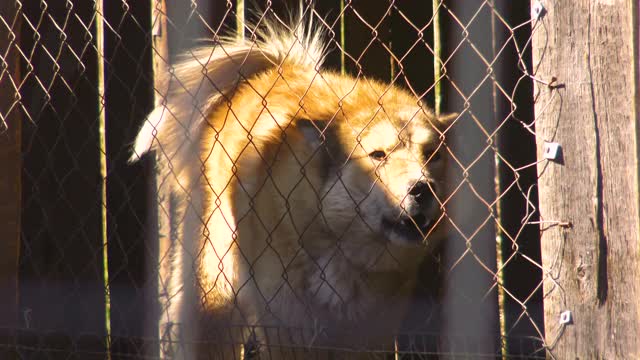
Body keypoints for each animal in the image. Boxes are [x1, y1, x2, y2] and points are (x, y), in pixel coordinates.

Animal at [132, 9, 456, 360]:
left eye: (433, 154)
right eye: (378, 155)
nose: (423, 188)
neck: (338, 243)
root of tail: (274, 68)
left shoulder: (369, 334)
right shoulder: (286, 324)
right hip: (215, 285)